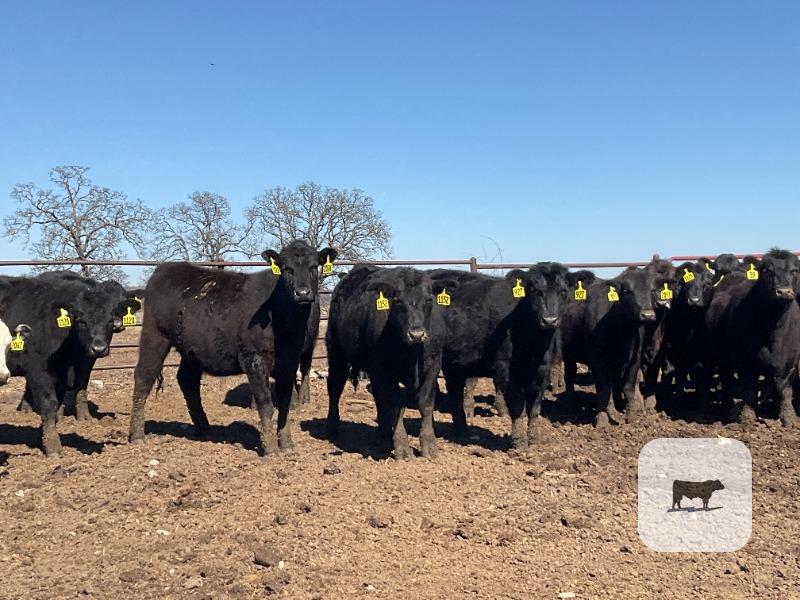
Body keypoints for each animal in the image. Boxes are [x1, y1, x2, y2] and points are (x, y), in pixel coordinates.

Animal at [128, 240, 337, 455]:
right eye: (287, 269)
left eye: (314, 267)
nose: (302, 293)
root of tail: (165, 269)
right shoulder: (254, 359)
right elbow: (266, 404)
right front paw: (270, 447)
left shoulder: (289, 361)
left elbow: (285, 404)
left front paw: (287, 444)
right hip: (155, 336)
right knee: (144, 376)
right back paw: (137, 434)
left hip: (192, 350)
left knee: (187, 380)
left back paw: (205, 428)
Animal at [326, 266, 452, 459]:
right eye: (398, 301)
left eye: (429, 299)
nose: (416, 334)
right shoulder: (385, 369)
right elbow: (396, 404)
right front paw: (401, 446)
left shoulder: (433, 366)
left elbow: (425, 403)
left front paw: (429, 444)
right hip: (336, 352)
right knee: (335, 386)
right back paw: (332, 426)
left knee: (378, 394)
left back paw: (384, 430)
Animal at [430, 263, 570, 452]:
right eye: (534, 290)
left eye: (563, 291)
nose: (549, 320)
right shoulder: (507, 371)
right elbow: (517, 407)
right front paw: (519, 444)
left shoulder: (542, 372)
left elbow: (535, 408)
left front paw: (533, 440)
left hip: (454, 364)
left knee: (455, 392)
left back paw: (462, 429)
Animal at [560, 267, 658, 426]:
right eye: (627, 290)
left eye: (652, 290)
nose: (648, 315)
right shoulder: (597, 360)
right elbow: (604, 389)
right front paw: (602, 421)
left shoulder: (635, 359)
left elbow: (628, 387)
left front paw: (631, 417)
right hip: (568, 354)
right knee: (569, 375)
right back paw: (570, 402)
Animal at [701, 249, 800, 426]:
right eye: (768, 271)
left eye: (794, 270)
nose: (783, 291)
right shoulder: (746, 361)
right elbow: (749, 389)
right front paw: (747, 418)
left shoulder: (791, 362)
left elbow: (786, 391)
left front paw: (788, 418)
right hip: (715, 354)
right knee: (723, 379)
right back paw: (726, 408)